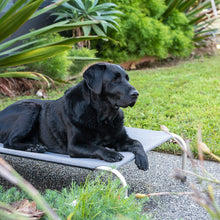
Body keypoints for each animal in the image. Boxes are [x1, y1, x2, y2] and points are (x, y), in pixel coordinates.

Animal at [0, 62, 149, 169]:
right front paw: (111, 153)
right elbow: (96, 147)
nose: (136, 94)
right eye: (114, 80)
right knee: (9, 142)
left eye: (127, 79)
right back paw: (33, 147)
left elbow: (137, 143)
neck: (103, 117)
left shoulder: (121, 139)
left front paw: (143, 160)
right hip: (30, 108)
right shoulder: (75, 145)